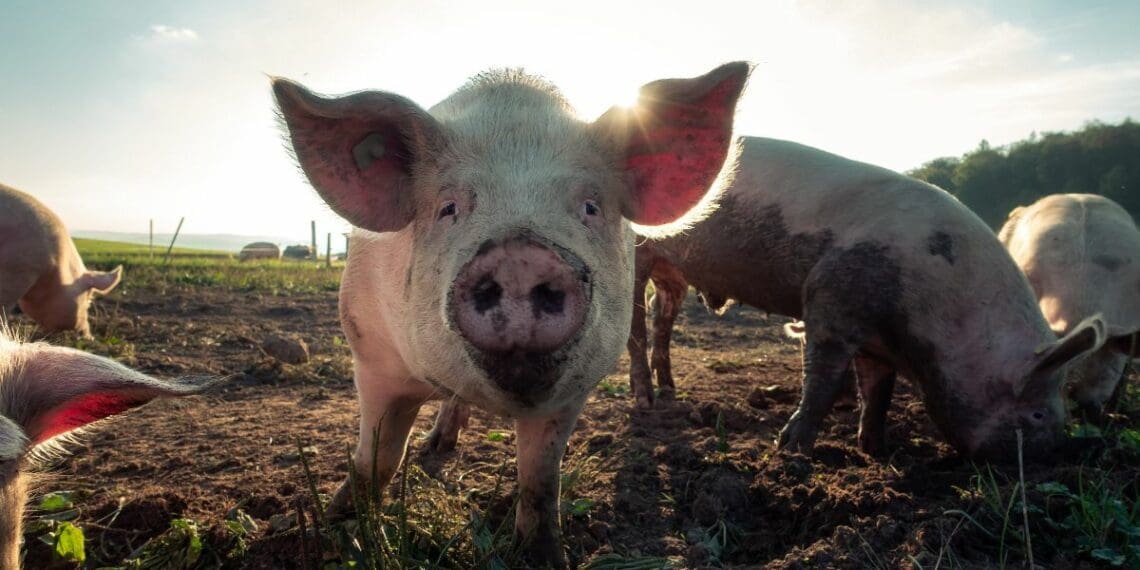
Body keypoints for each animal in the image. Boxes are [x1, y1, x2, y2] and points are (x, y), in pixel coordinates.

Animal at [273, 62, 750, 567]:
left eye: (590, 207)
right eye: (448, 208)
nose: (520, 256)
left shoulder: (575, 389)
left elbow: (540, 479)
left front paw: (544, 556)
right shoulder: (372, 355)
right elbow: (377, 459)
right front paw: (337, 530)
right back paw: (436, 446)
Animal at [625, 137, 1107, 459]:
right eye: (1037, 414)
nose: (1056, 458)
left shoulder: (879, 342)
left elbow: (879, 391)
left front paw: (878, 450)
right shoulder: (830, 300)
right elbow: (822, 379)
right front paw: (790, 450)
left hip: (673, 273)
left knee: (661, 318)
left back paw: (670, 390)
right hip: (637, 254)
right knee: (634, 326)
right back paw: (646, 401)